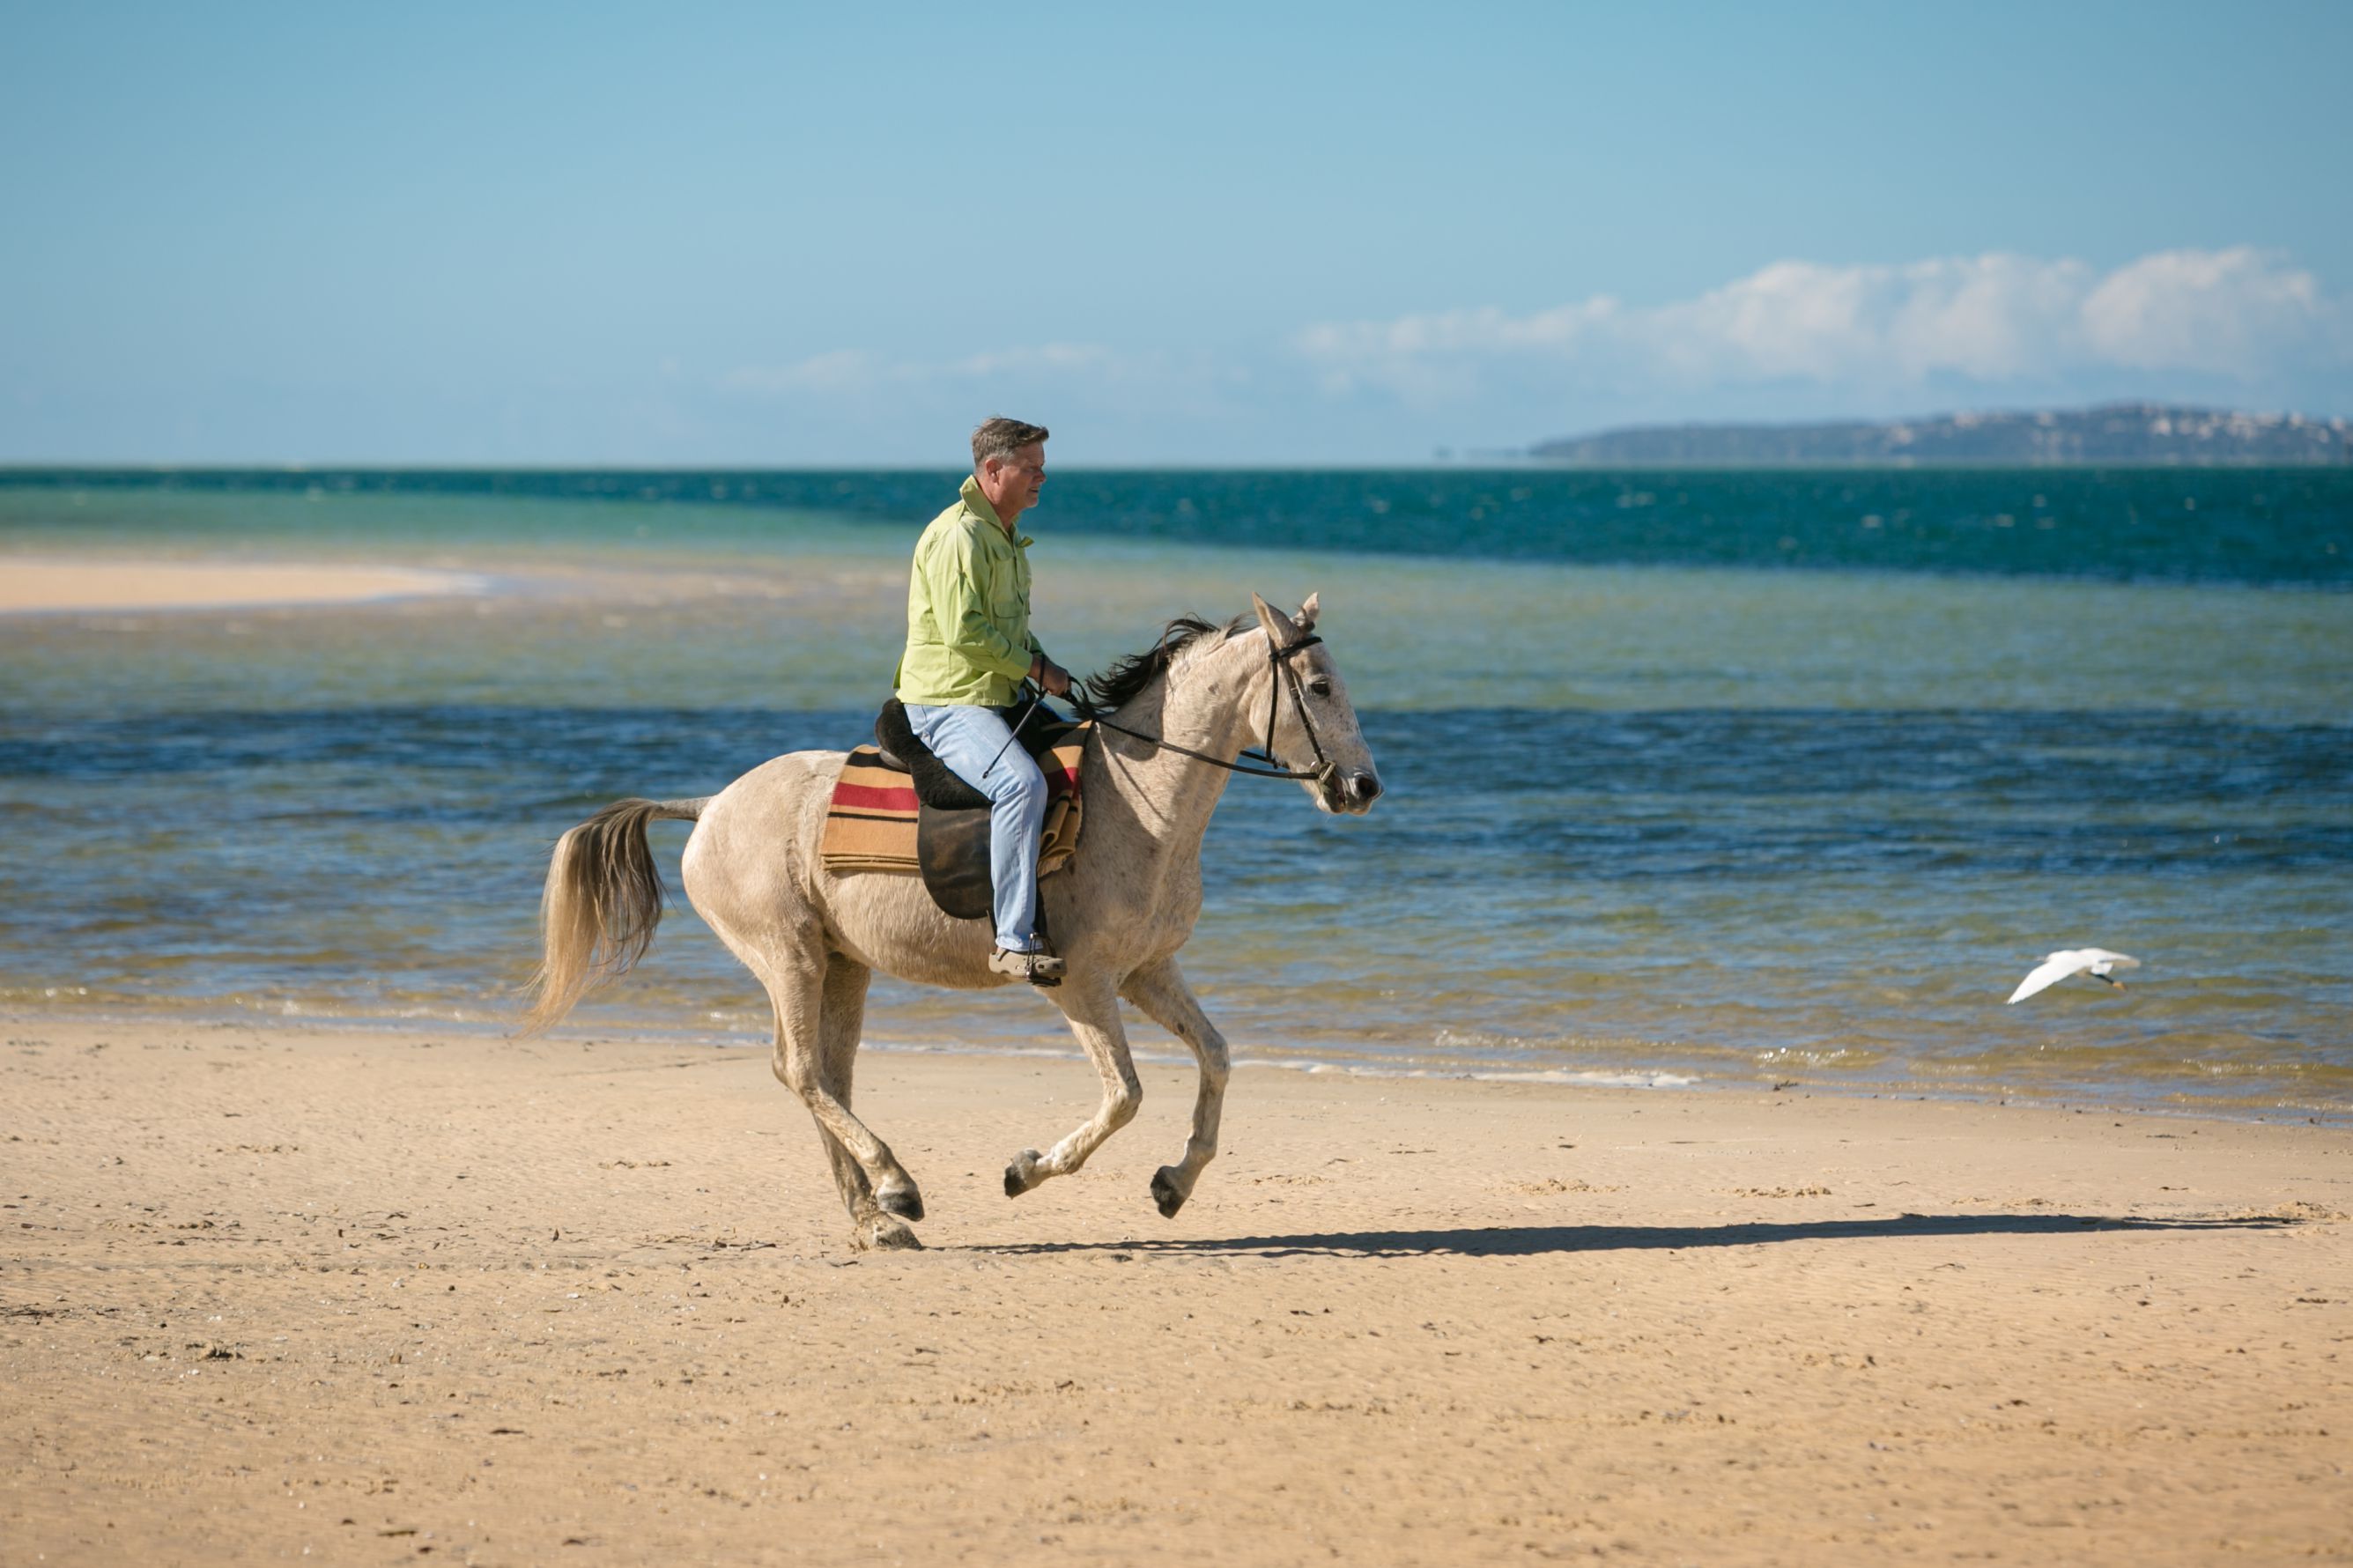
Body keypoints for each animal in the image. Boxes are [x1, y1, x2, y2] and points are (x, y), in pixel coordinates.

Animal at [524, 593, 1383, 1252]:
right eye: (1317, 687)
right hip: (788, 957)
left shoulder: (1147, 972)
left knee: (821, 1076)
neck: (1136, 803)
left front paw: (1174, 1182)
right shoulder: (1079, 985)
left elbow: (1216, 1057)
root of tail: (710, 807)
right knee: (800, 1072)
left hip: (843, 967)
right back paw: (896, 1186)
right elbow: (1124, 1096)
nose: (1362, 787)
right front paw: (1024, 1171)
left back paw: (875, 1217)